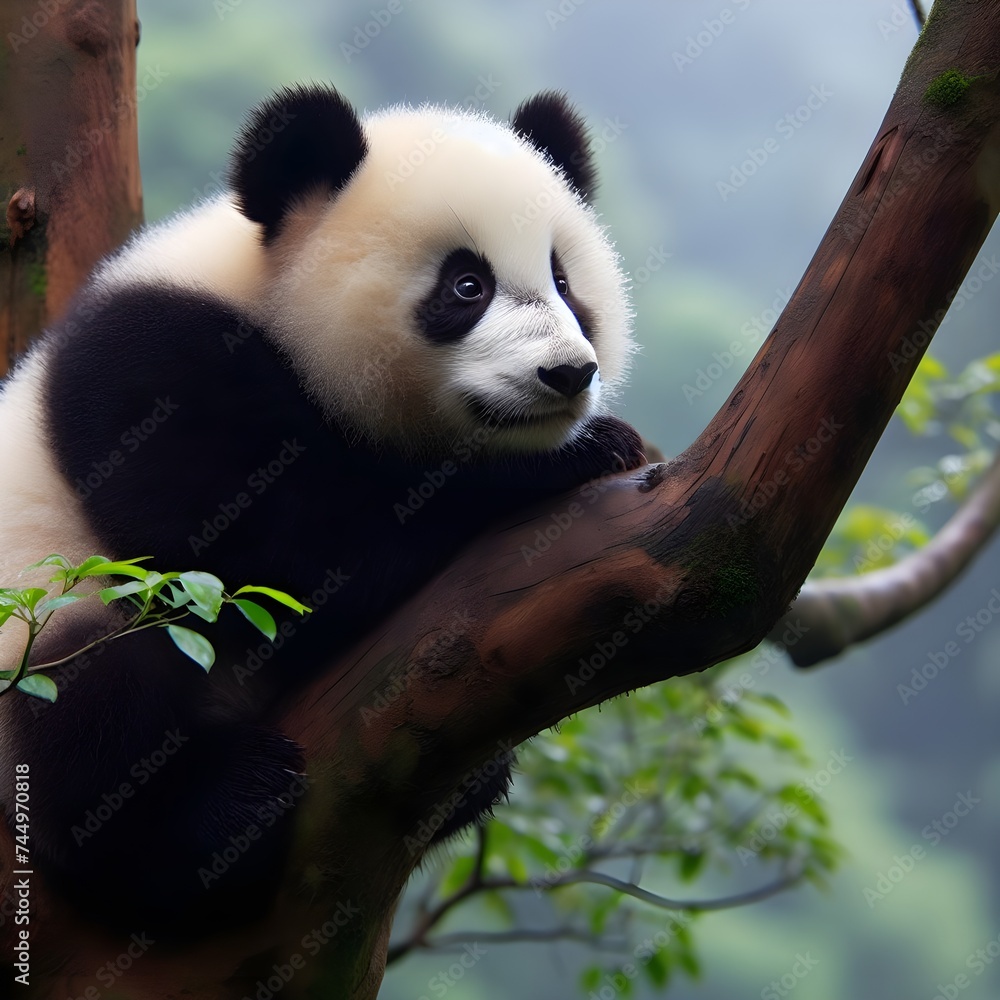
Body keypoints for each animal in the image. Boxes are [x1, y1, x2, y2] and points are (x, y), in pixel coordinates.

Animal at [0, 85, 644, 935]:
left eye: (565, 282)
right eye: (465, 286)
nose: (567, 373)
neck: (264, 289)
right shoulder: (148, 364)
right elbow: (290, 550)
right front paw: (579, 455)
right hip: (40, 611)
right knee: (92, 688)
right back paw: (221, 812)